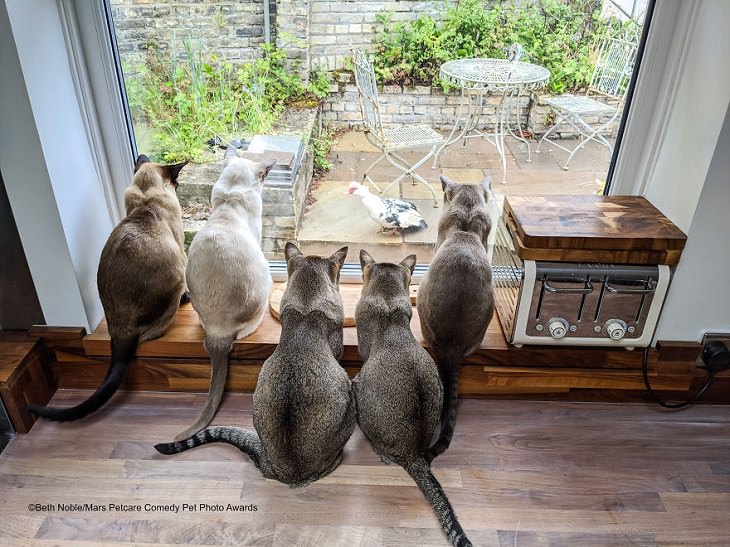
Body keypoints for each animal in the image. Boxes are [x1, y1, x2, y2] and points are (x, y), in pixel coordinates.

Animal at [27, 156, 188, 422]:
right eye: (176, 182)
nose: (178, 186)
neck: (145, 198)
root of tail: (118, 330)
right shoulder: (181, 249)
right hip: (175, 276)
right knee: (154, 332)